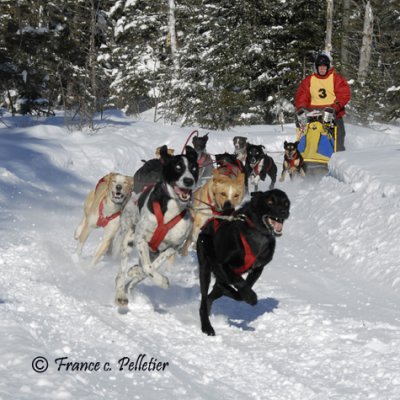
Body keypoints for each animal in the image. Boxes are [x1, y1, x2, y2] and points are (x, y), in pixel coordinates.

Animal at [114, 146, 198, 306]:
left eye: (194, 168)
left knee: (136, 277)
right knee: (120, 272)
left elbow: (151, 267)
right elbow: (147, 268)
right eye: (178, 167)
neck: (172, 208)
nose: (189, 180)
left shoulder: (172, 247)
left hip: (151, 251)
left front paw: (137, 271)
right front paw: (163, 281)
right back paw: (120, 294)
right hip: (127, 241)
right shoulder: (141, 239)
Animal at [198, 189, 290, 336]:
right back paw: (207, 326)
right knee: (204, 299)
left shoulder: (258, 269)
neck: (258, 235)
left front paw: (241, 294)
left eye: (286, 203)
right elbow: (240, 283)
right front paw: (251, 297)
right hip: (205, 267)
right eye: (270, 201)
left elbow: (244, 288)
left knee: (212, 295)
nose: (284, 212)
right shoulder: (221, 264)